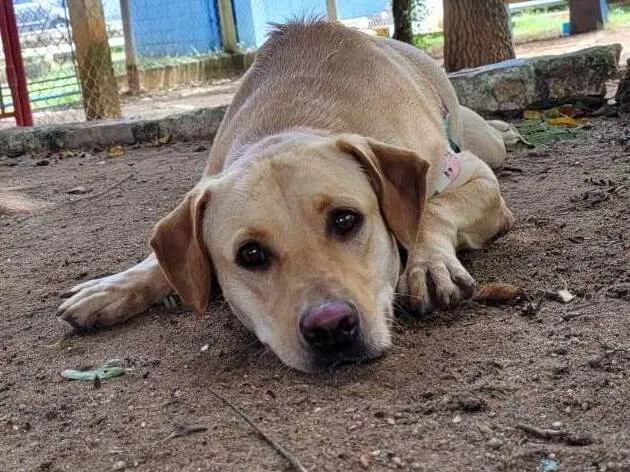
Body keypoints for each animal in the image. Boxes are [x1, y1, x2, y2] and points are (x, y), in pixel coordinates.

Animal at [56, 21, 516, 372]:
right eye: (250, 254)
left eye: (345, 219)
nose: (330, 327)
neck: (288, 121)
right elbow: (159, 261)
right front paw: (112, 288)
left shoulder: (475, 179)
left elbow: (430, 209)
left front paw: (428, 263)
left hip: (483, 146)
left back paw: (505, 127)